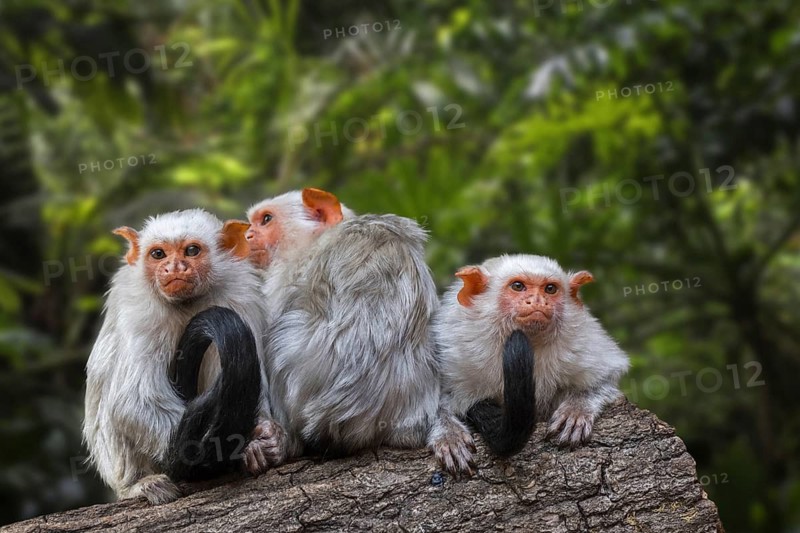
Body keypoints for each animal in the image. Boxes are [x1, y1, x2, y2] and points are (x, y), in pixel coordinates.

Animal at [83, 209, 285, 504]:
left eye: (191, 251)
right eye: (158, 254)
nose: (175, 268)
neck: (185, 304)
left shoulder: (240, 298)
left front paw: (267, 439)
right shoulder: (141, 313)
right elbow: (131, 402)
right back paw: (138, 484)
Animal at [434, 254, 630, 459]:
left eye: (550, 289)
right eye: (518, 286)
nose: (537, 301)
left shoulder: (578, 344)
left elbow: (605, 378)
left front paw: (576, 408)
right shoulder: (457, 350)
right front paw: (449, 434)